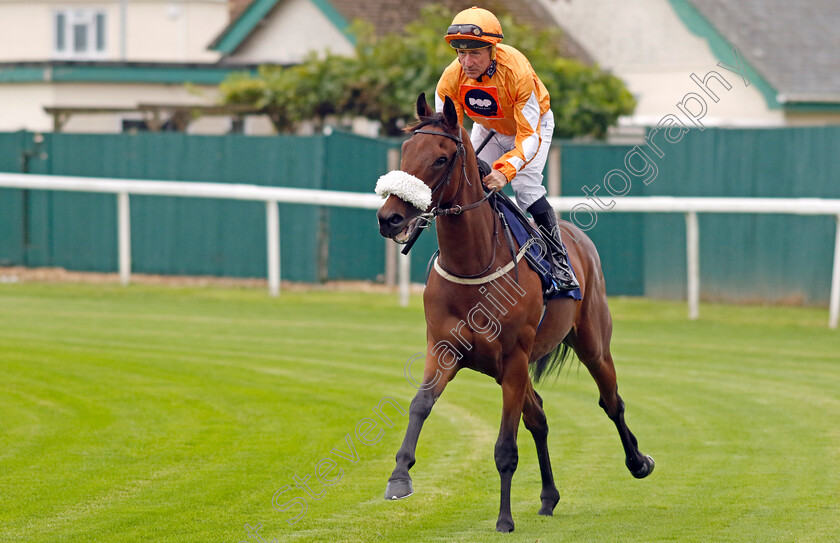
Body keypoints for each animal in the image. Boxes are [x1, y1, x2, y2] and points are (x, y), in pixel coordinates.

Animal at [376, 92, 656, 532]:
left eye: (440, 158)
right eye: (405, 151)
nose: (390, 218)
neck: (473, 264)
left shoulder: (513, 359)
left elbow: (505, 447)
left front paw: (504, 518)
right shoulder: (444, 349)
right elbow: (420, 404)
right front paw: (399, 477)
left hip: (591, 344)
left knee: (612, 401)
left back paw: (638, 462)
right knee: (538, 417)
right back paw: (548, 496)